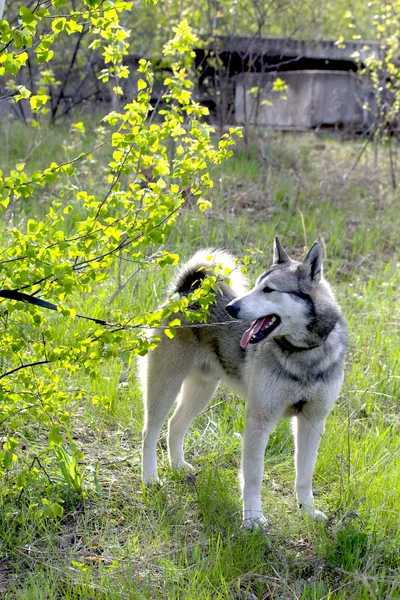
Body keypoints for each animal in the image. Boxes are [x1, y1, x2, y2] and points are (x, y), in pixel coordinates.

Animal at [141, 237, 346, 528]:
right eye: (258, 285)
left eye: (269, 290)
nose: (231, 308)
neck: (302, 356)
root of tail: (185, 293)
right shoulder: (259, 421)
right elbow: (253, 476)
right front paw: (252, 520)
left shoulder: (313, 421)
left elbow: (305, 476)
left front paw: (307, 512)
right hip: (165, 386)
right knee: (149, 433)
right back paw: (150, 479)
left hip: (201, 392)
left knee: (175, 425)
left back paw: (178, 467)